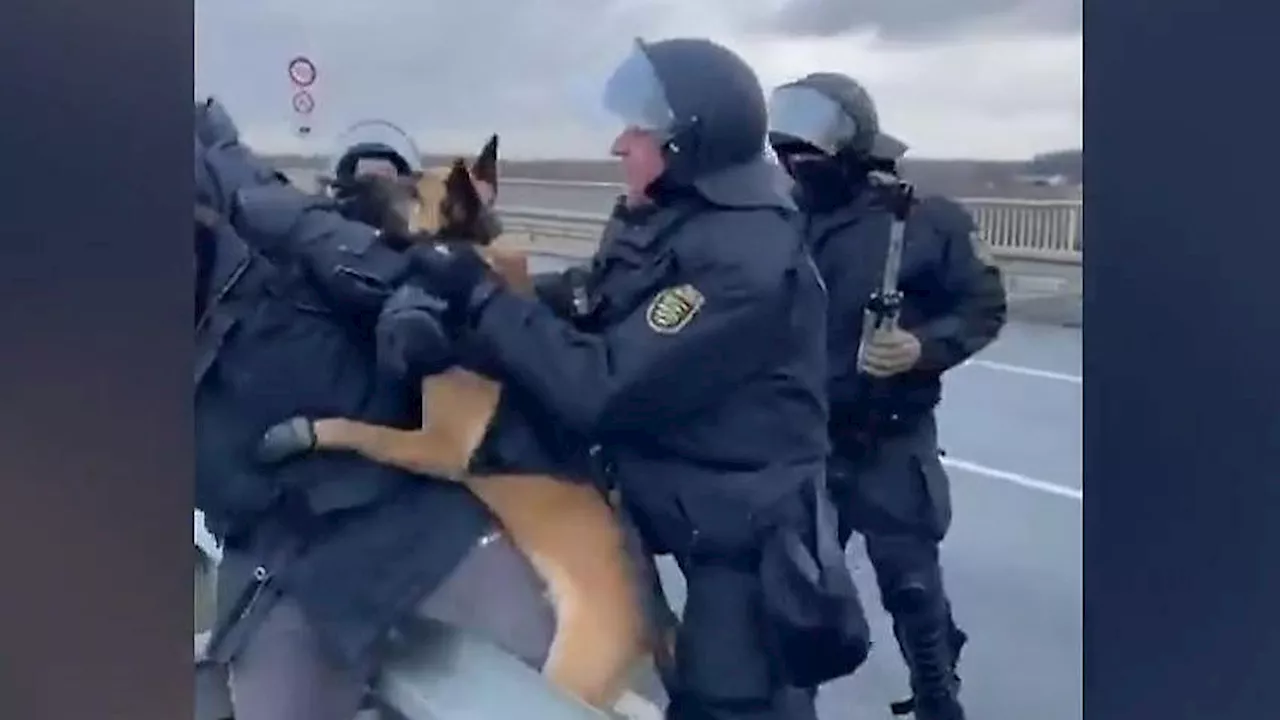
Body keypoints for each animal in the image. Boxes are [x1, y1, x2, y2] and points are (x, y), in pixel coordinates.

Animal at [270, 135, 670, 707]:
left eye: (410, 188)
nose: (335, 183)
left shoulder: (437, 444)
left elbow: (360, 431)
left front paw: (303, 432)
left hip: (569, 669)